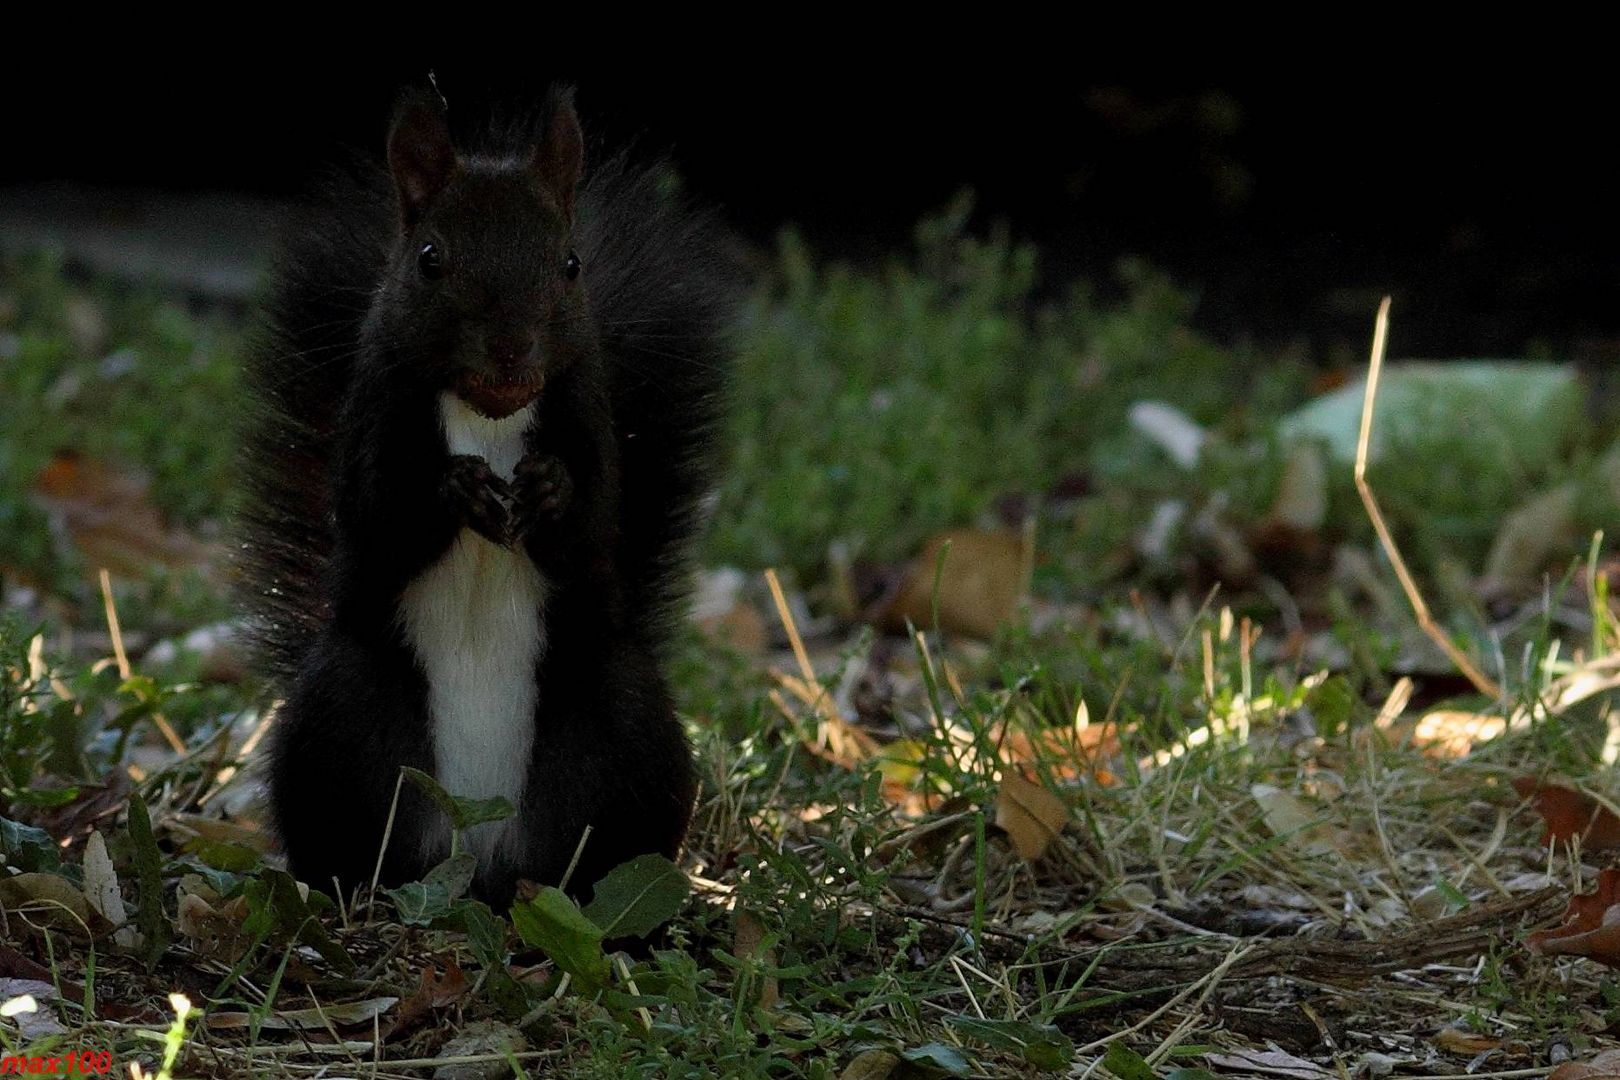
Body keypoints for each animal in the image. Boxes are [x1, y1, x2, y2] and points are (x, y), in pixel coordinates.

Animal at [239, 84, 735, 906]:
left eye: (571, 264)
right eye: (429, 260)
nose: (510, 348)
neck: (489, 417)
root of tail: (477, 852)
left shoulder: (593, 428)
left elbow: (594, 536)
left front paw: (549, 487)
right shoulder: (372, 422)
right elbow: (378, 528)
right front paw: (453, 489)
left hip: (622, 736)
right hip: (338, 727)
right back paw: (357, 888)